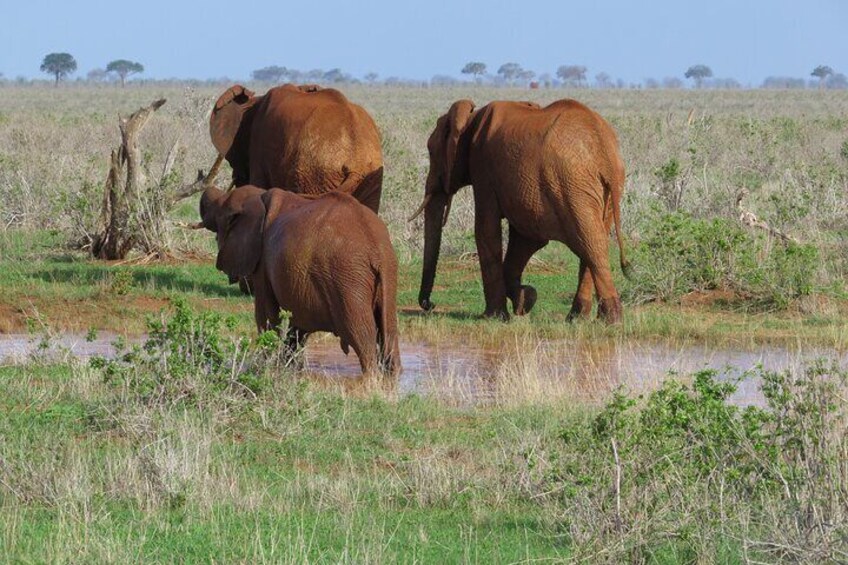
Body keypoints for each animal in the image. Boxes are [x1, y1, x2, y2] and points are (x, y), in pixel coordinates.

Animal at [199, 186, 400, 378]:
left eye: (220, 217)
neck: (259, 196)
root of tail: (376, 249)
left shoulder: (263, 263)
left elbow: (267, 316)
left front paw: (267, 368)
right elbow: (296, 325)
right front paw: (290, 369)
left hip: (348, 280)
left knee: (361, 337)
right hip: (387, 276)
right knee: (389, 336)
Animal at [410, 99, 628, 324]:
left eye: (430, 151)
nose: (430, 305)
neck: (471, 118)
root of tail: (605, 152)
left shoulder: (483, 167)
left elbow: (485, 230)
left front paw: (495, 317)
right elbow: (526, 239)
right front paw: (526, 300)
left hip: (571, 185)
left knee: (592, 243)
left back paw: (610, 321)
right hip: (596, 189)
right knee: (592, 242)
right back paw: (579, 319)